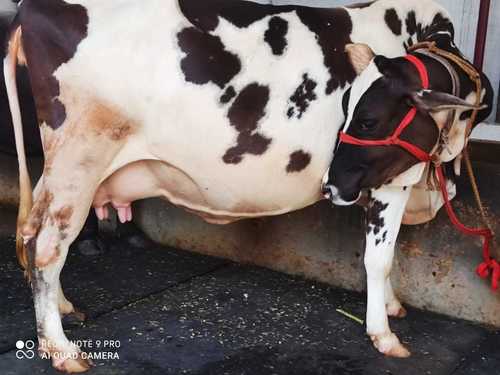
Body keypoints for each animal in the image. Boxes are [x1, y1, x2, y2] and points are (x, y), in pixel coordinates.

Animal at [0, 0, 492, 374]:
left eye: (366, 117)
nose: (332, 182)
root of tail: (32, 7)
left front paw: (389, 307)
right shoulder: (393, 177)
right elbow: (380, 259)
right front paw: (384, 335)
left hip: (60, 169)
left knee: (34, 234)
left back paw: (63, 309)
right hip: (79, 159)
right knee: (47, 246)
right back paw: (61, 349)